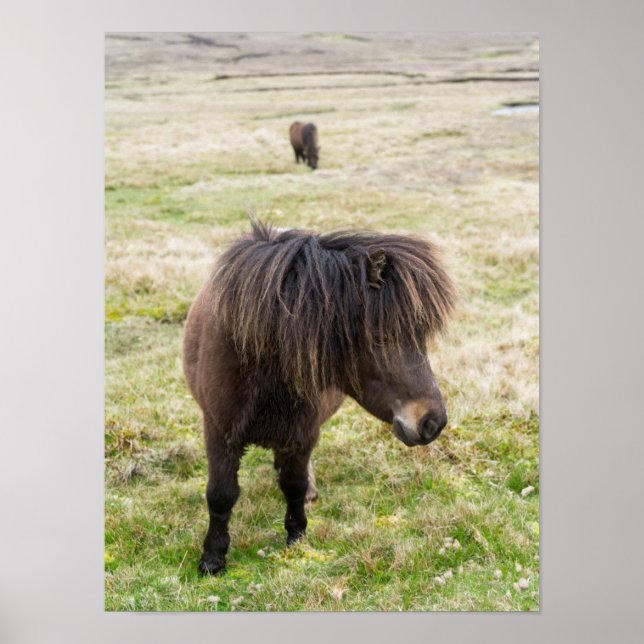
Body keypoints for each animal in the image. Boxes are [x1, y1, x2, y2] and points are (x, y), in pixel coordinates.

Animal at [183, 222, 456, 574]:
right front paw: (212, 558)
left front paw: (296, 536)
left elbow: (294, 485)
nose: (433, 422)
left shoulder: (303, 433)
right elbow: (220, 494)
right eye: (380, 337)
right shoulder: (219, 432)